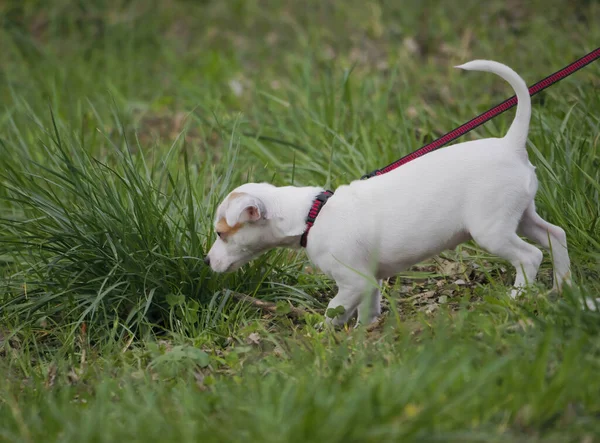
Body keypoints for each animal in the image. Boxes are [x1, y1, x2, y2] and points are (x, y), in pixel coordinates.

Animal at [206, 60, 572, 326]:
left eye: (221, 234)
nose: (207, 261)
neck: (312, 214)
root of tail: (512, 144)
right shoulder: (371, 283)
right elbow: (367, 312)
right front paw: (365, 334)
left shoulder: (352, 282)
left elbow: (334, 310)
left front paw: (324, 335)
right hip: (522, 216)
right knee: (555, 234)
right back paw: (563, 285)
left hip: (491, 230)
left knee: (530, 256)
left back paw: (519, 296)